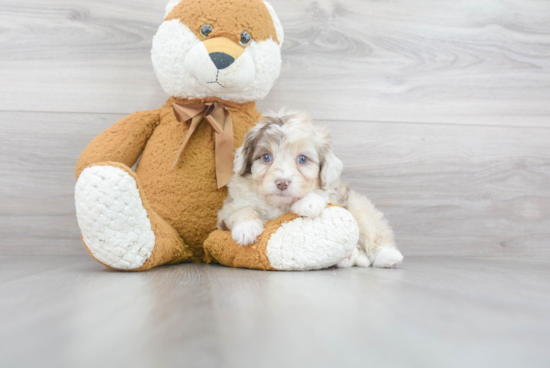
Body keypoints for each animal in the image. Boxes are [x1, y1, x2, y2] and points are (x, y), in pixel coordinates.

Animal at [217, 109, 406, 268]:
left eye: (302, 159)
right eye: (266, 157)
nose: (282, 183)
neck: (280, 204)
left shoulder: (333, 193)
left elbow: (321, 194)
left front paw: (308, 203)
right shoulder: (226, 211)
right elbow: (241, 209)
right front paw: (246, 228)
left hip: (358, 207)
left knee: (374, 232)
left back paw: (388, 256)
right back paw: (347, 258)